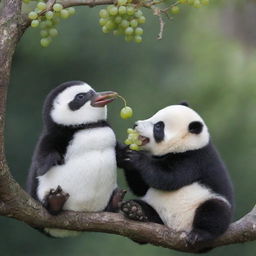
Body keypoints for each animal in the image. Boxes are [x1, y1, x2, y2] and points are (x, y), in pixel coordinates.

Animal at [117, 102, 235, 244]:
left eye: (158, 127)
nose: (135, 125)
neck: (187, 144)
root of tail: (175, 227)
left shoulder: (194, 160)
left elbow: (168, 178)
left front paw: (136, 158)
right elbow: (141, 188)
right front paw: (123, 153)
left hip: (205, 201)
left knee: (215, 211)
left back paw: (199, 234)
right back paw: (135, 211)